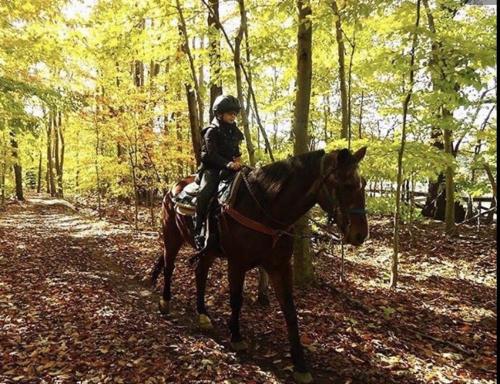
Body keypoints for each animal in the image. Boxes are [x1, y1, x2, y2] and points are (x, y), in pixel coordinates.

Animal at [150, 147, 370, 384]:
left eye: (364, 183)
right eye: (346, 185)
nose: (360, 235)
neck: (266, 210)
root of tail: (173, 189)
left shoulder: (279, 267)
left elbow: (290, 311)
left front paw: (300, 365)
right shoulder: (237, 264)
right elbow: (236, 300)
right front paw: (236, 337)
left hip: (208, 250)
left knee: (200, 273)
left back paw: (202, 314)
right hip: (172, 237)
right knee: (169, 267)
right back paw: (165, 302)